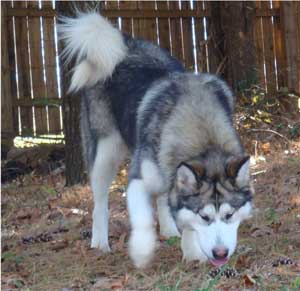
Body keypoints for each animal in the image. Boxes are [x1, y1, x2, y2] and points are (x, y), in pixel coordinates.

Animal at [58, 12, 253, 270]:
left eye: (229, 216)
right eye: (205, 217)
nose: (220, 253)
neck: (200, 127)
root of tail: (124, 42)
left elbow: (180, 212)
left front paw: (191, 251)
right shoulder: (138, 179)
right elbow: (143, 220)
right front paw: (142, 252)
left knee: (161, 197)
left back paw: (169, 229)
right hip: (104, 153)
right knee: (100, 202)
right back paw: (100, 242)